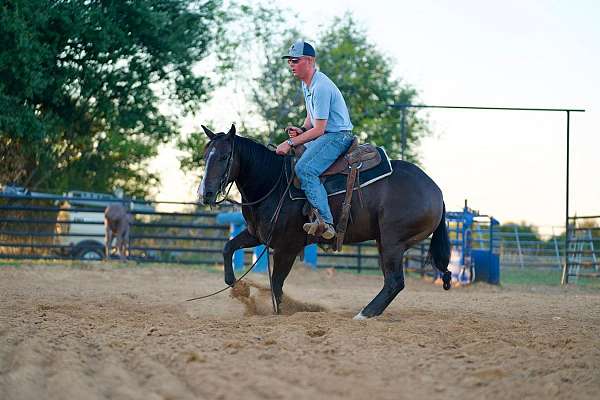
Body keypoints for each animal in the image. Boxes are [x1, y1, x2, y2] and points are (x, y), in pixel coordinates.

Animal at [197, 125, 450, 318]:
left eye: (224, 157)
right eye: (205, 156)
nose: (205, 194)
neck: (273, 183)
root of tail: (436, 190)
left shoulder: (288, 247)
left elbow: (276, 282)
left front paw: (281, 312)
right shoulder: (256, 234)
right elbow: (228, 248)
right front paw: (238, 286)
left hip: (392, 242)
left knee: (395, 281)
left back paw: (364, 314)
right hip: (384, 242)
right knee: (392, 281)